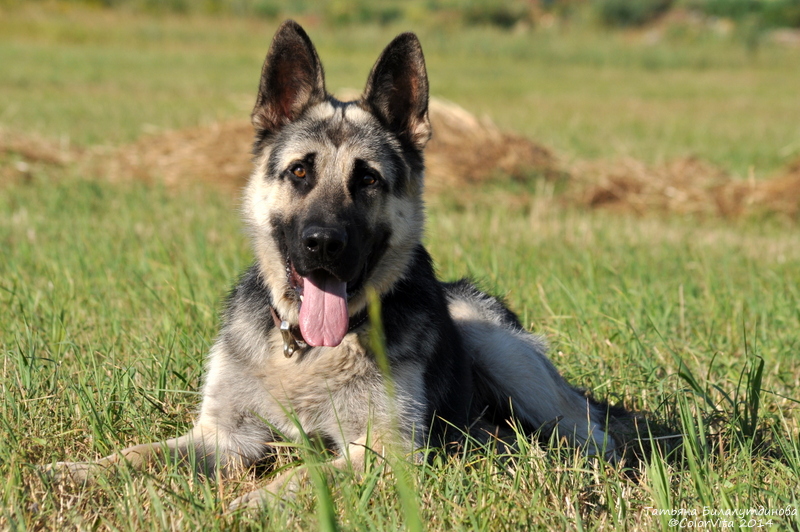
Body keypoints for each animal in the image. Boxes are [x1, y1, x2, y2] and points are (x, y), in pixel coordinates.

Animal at [50, 21, 624, 512]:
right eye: (300, 172)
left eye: (367, 179)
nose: (322, 244)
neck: (304, 351)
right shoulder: (223, 436)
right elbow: (140, 455)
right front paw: (81, 471)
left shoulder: (385, 450)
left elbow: (303, 474)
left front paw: (250, 505)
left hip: (496, 346)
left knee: (591, 433)